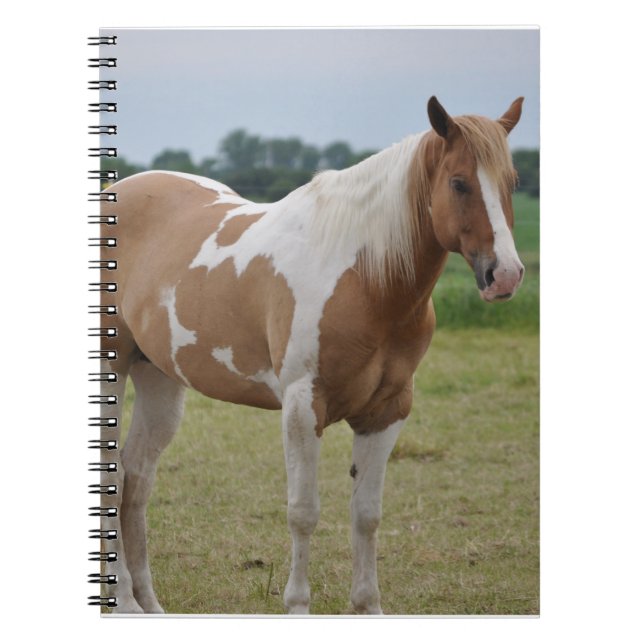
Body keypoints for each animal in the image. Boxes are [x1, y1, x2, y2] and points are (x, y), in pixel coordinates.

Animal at [97, 96, 525, 614]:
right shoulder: (303, 407)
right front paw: (298, 604)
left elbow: (367, 515)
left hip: (159, 377)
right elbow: (303, 513)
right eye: (459, 182)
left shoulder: (387, 411)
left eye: (511, 182)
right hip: (111, 368)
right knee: (114, 474)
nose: (505, 274)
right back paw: (123, 600)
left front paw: (368, 606)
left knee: (137, 479)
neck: (364, 278)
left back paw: (147, 604)